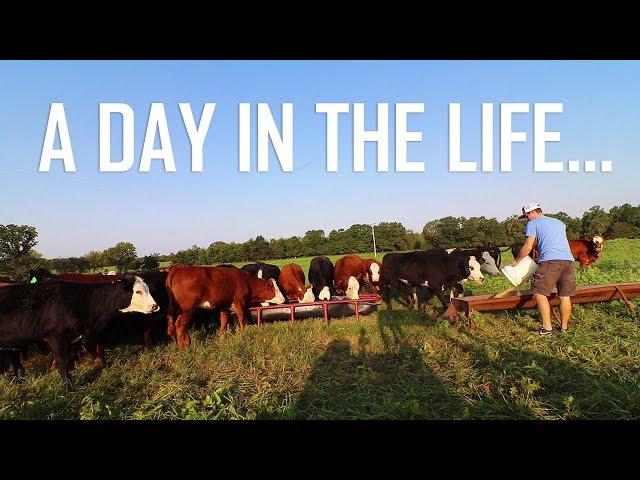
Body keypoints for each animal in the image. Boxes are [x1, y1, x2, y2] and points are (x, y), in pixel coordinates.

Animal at [0, 278, 158, 382]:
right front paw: (68, 387)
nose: (155, 306)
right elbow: (63, 362)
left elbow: (70, 359)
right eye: (138, 291)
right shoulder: (56, 337)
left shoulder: (74, 338)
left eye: (149, 289)